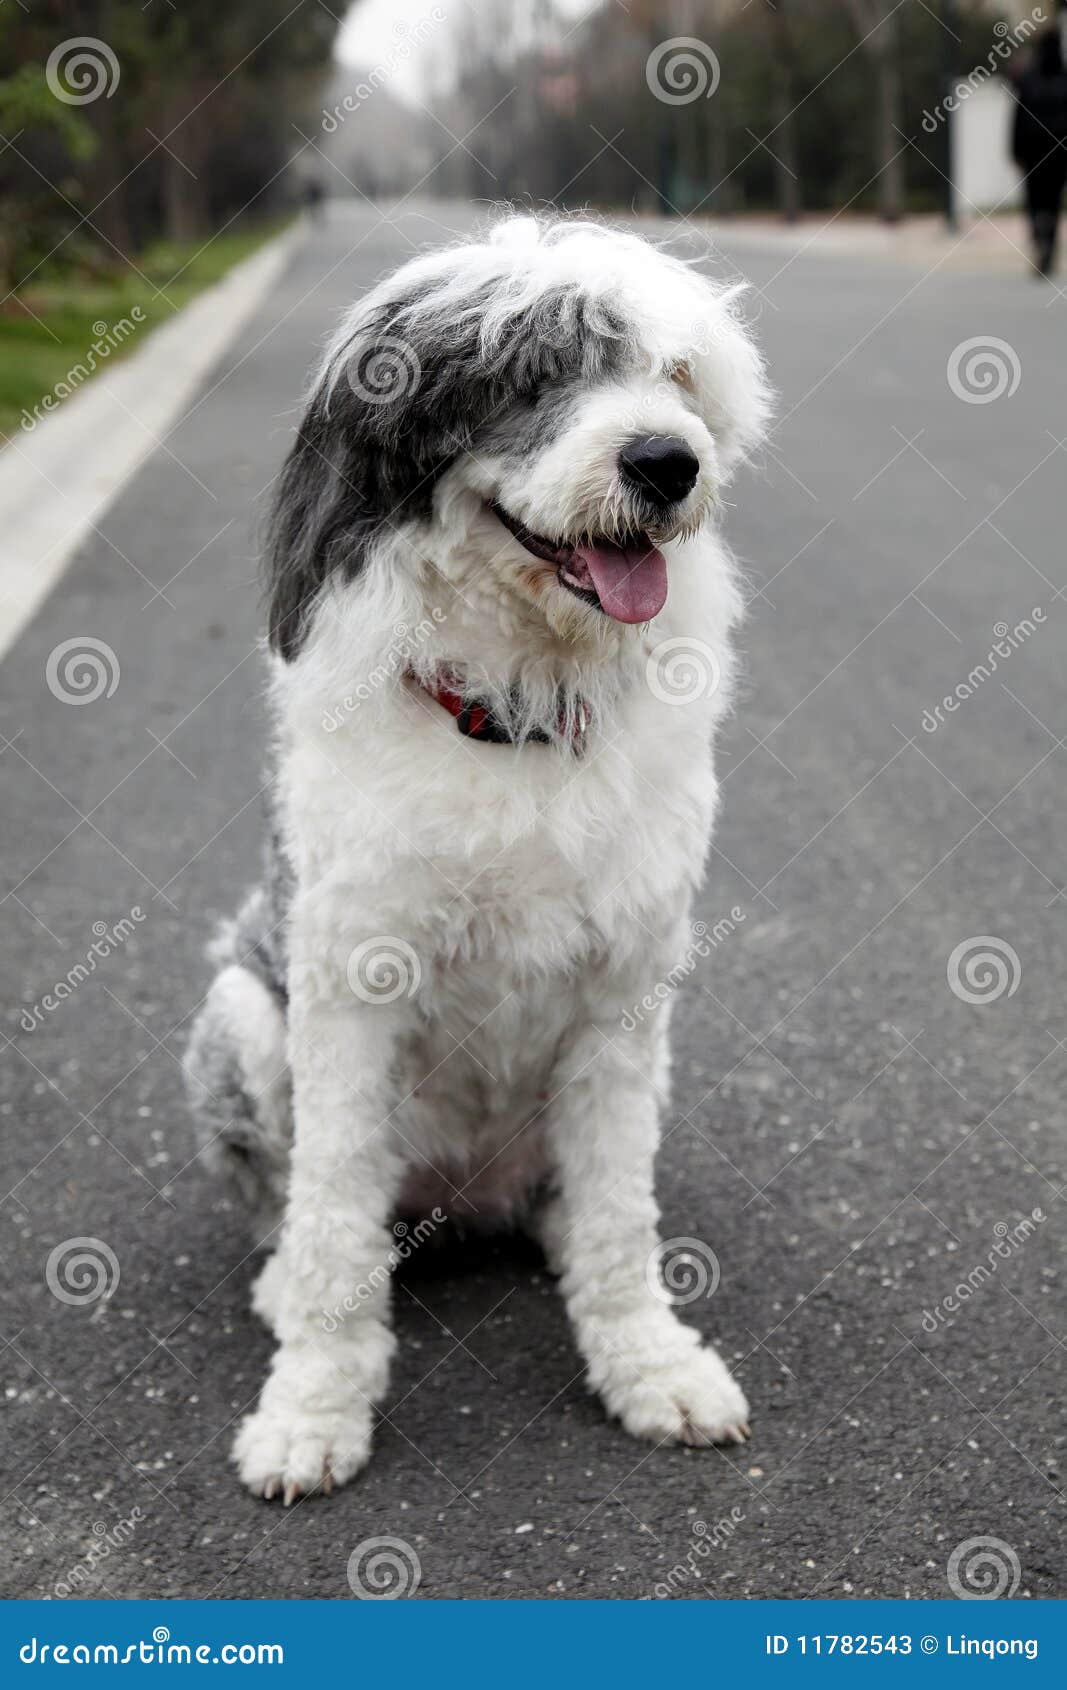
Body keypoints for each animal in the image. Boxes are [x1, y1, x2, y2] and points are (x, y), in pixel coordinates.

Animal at [183, 214, 767, 1507]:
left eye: (672, 374)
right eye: (531, 372)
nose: (668, 463)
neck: (513, 717)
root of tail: (454, 1203)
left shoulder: (621, 997)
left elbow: (618, 1217)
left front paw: (646, 1364)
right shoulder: (347, 994)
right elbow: (331, 1218)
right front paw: (312, 1409)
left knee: (586, 1198)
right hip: (242, 1012)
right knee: (301, 1214)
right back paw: (285, 1284)